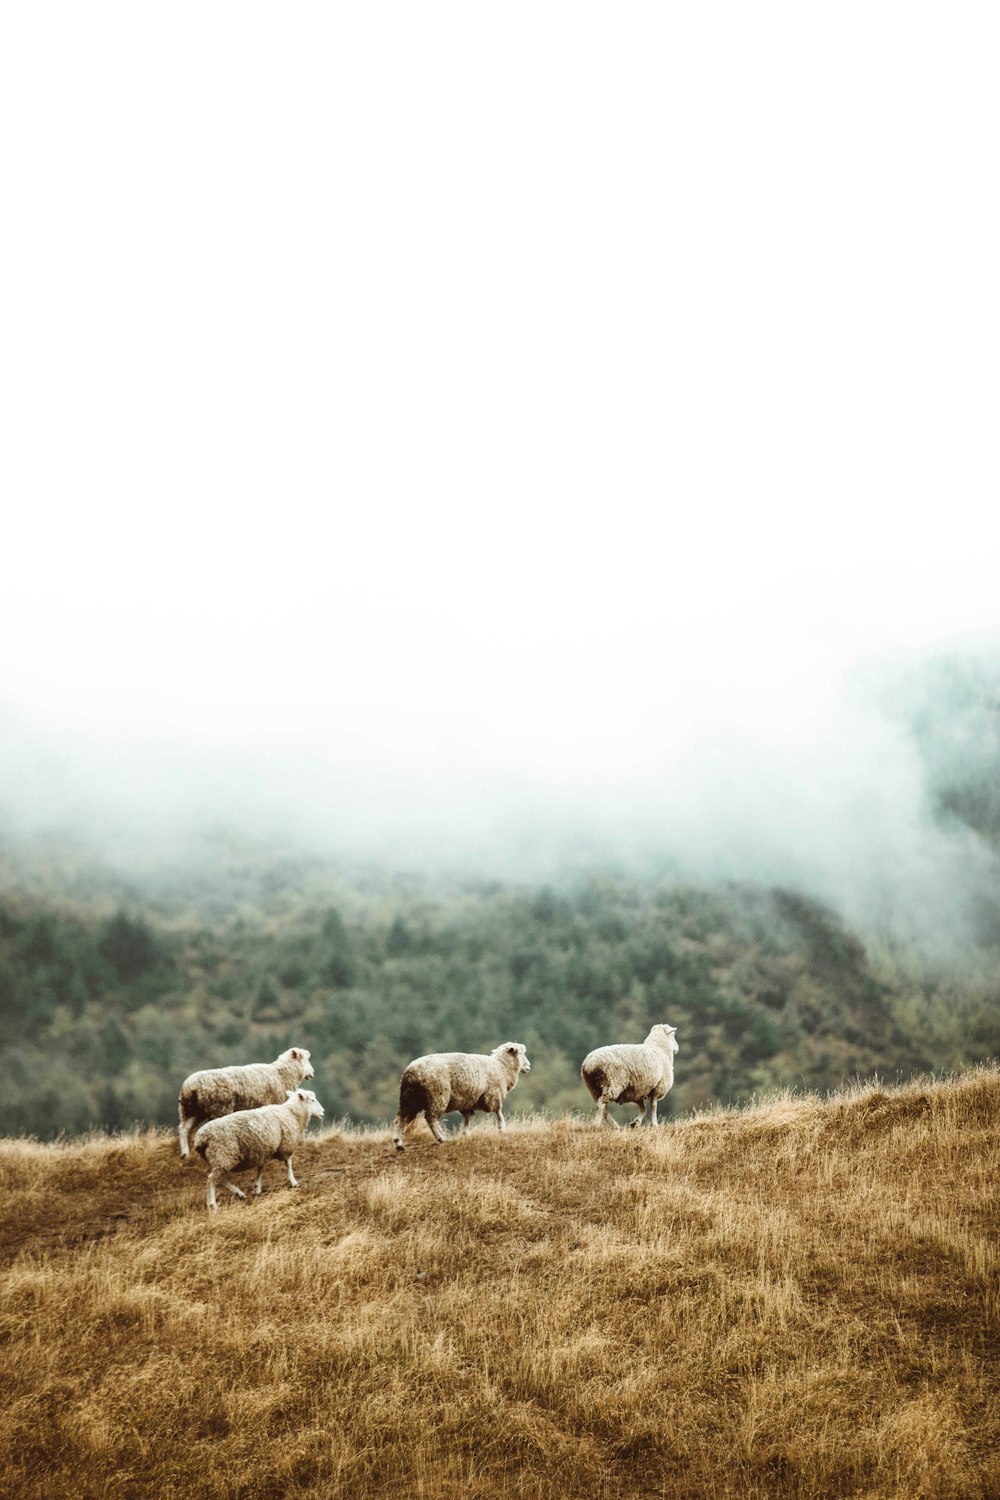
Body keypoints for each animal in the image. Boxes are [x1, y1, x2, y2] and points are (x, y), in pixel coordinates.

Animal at [176, 1044, 313, 1158]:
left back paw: (185, 1154)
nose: (312, 1073)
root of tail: (190, 1086)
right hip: (218, 1108)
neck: (282, 1074)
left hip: (191, 1109)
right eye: (306, 1060)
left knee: (184, 1128)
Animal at [191, 1086, 325, 1212]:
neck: (292, 1113)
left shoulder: (265, 1150)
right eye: (312, 1100)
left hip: (218, 1158)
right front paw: (293, 1181)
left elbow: (261, 1169)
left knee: (220, 1179)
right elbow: (288, 1163)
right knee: (211, 1180)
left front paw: (257, 1188)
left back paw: (239, 1193)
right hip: (223, 1154)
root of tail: (201, 1138)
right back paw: (213, 1204)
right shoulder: (286, 1145)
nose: (323, 1112)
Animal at [389, 1044, 530, 1146]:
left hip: (409, 1098)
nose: (528, 1066)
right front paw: (502, 1129)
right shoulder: (493, 1095)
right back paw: (441, 1138)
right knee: (430, 1118)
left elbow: (468, 1118)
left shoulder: (469, 1102)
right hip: (437, 1095)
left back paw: (398, 1142)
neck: (502, 1067)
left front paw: (465, 1134)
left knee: (400, 1118)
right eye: (521, 1053)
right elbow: (498, 1111)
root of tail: (411, 1072)